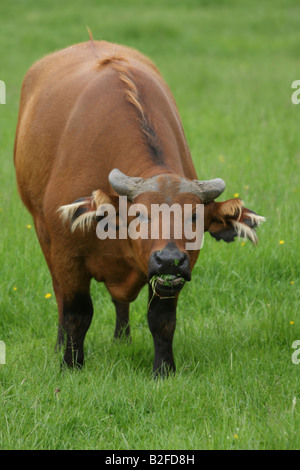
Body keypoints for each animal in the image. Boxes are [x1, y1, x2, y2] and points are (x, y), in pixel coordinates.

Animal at [13, 40, 264, 378]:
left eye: (194, 217)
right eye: (140, 215)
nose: (169, 259)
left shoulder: (173, 277)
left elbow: (162, 320)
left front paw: (163, 369)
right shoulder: (68, 254)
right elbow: (76, 312)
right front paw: (71, 364)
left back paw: (122, 339)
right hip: (42, 232)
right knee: (61, 298)